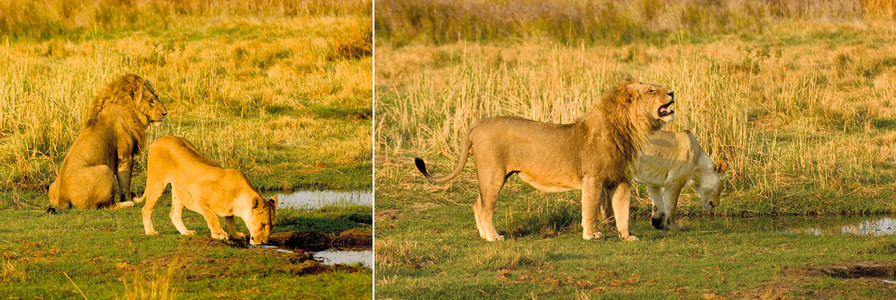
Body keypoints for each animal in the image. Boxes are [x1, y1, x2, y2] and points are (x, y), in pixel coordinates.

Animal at [48, 74, 166, 210]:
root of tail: (62, 197)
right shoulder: (125, 156)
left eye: (157, 97)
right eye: (151, 101)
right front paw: (127, 199)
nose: (165, 113)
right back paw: (128, 203)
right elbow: (125, 184)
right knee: (106, 206)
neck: (129, 110)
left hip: (52, 186)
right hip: (105, 169)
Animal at [136, 137, 274, 245]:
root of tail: (158, 139)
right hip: (157, 183)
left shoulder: (228, 209)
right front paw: (219, 234)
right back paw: (150, 232)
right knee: (146, 209)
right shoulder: (195, 190)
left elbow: (231, 221)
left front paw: (235, 235)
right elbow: (212, 216)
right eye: (263, 225)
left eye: (272, 226)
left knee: (174, 214)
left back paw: (185, 232)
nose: (264, 242)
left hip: (178, 192)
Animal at [416, 79, 676, 241]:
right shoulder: (592, 178)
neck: (627, 128)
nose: (672, 92)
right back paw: (493, 237)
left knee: (477, 205)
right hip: (493, 174)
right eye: (651, 91)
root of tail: (477, 124)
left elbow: (622, 211)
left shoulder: (621, 181)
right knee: (484, 207)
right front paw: (591, 235)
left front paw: (627, 236)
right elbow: (590, 209)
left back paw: (483, 235)